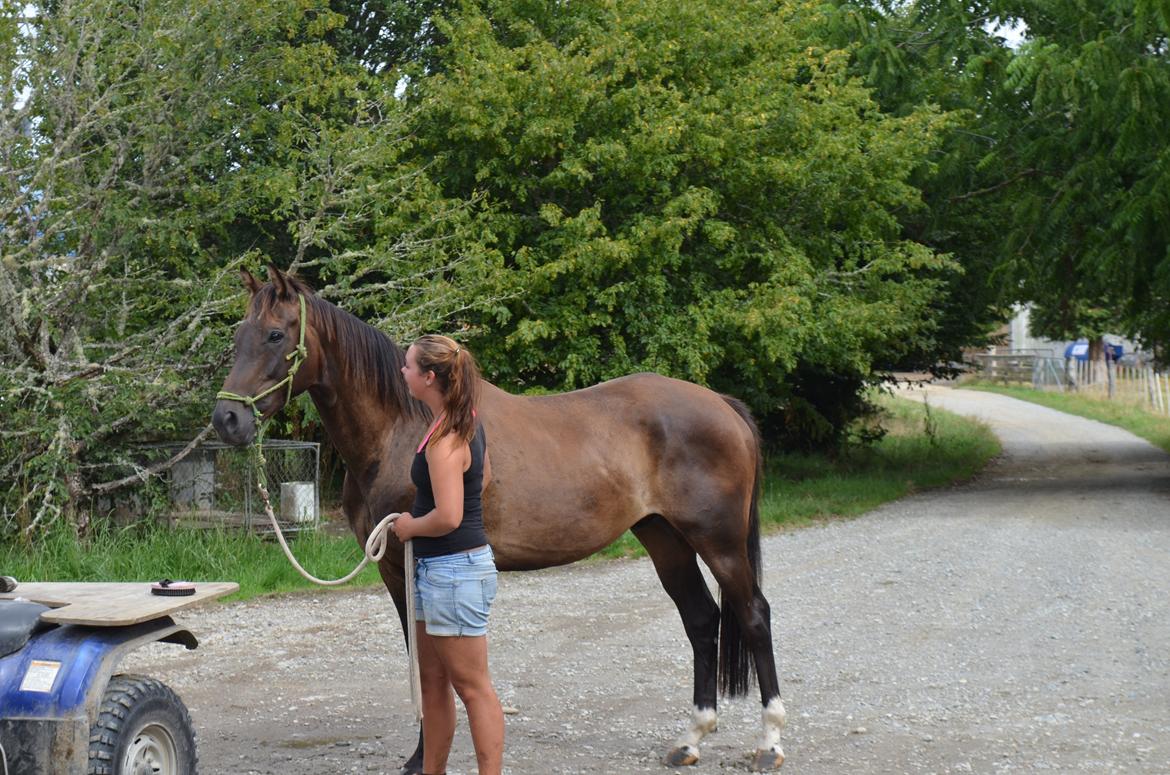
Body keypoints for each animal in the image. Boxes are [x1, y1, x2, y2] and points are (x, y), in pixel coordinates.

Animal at [210, 266, 787, 772]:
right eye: (239, 335)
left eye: (276, 333)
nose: (227, 419)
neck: (401, 427)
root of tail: (722, 404)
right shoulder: (396, 569)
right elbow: (420, 656)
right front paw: (422, 755)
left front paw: (426, 755)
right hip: (664, 538)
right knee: (701, 620)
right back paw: (691, 740)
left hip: (719, 543)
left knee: (753, 615)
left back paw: (769, 744)